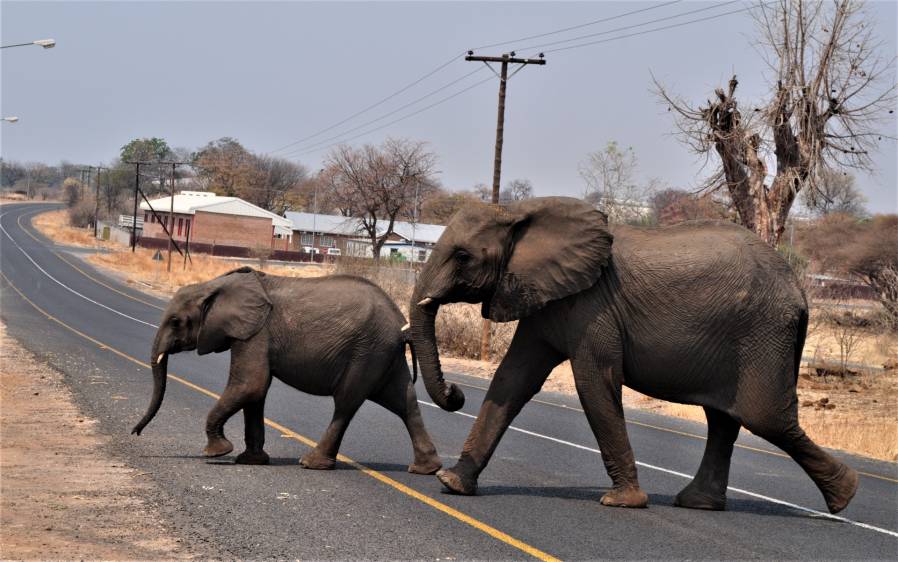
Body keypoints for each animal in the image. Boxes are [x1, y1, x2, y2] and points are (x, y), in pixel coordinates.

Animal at [133, 264, 440, 470]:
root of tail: (402, 324)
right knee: (404, 401)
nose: (135, 433)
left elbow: (251, 384)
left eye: (176, 322)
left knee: (346, 403)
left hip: (367, 351)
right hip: (383, 354)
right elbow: (255, 393)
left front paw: (216, 454)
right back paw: (427, 468)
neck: (213, 285)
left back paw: (312, 463)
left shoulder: (256, 333)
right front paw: (251, 461)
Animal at [410, 196, 856, 512]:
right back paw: (699, 503)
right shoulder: (546, 298)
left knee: (764, 417)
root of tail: (799, 290)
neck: (519, 212)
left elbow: (594, 383)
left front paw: (622, 503)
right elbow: (512, 379)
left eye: (463, 256)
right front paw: (453, 483)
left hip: (764, 333)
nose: (455, 392)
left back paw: (845, 496)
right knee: (724, 419)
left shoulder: (593, 305)